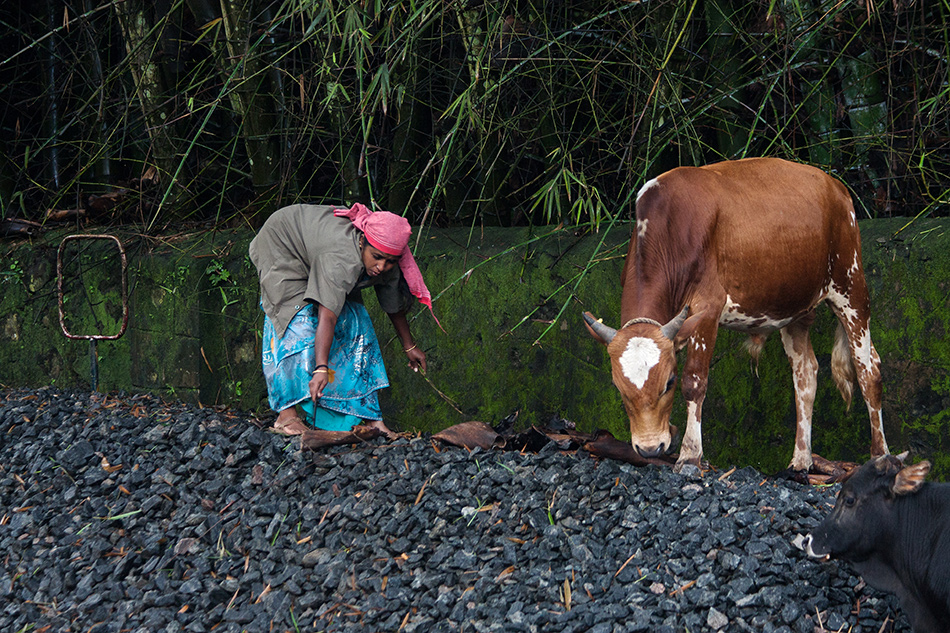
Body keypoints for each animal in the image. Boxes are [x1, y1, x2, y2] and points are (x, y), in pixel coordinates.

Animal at [588, 157, 892, 472]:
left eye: (668, 382)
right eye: (619, 388)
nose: (649, 448)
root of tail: (836, 186)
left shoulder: (708, 307)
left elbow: (694, 382)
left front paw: (690, 454)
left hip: (851, 285)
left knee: (869, 371)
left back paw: (880, 456)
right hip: (794, 306)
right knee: (806, 374)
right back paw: (800, 460)